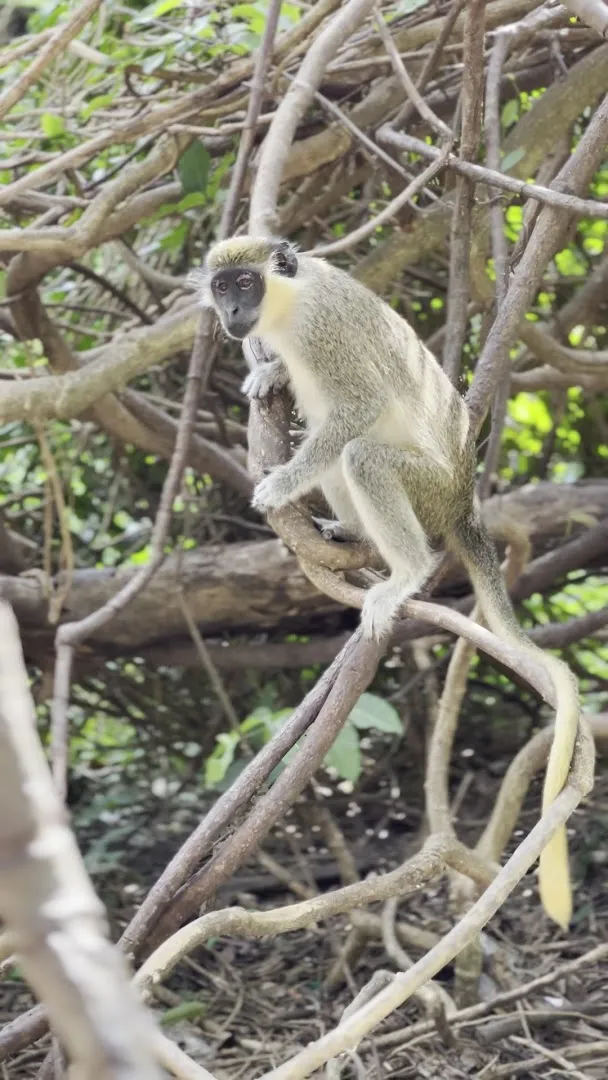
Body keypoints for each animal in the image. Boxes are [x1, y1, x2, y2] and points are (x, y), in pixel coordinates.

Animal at [190, 235, 581, 931]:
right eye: (221, 286)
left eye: (245, 283)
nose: (232, 313)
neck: (289, 302)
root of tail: (462, 496)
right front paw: (270, 372)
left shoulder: (324, 331)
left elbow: (359, 408)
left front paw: (281, 483)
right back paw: (349, 534)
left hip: (425, 489)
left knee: (359, 452)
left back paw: (405, 573)